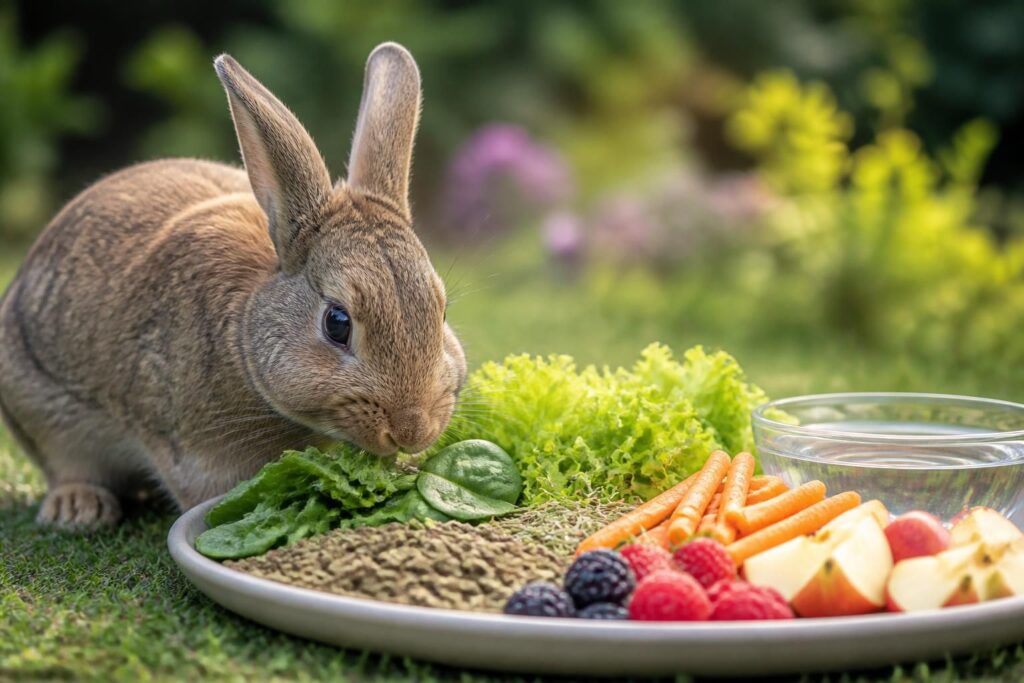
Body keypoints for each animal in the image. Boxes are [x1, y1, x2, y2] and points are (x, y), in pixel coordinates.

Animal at [0, 42, 467, 528]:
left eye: (441, 312)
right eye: (337, 323)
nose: (412, 430)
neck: (244, 340)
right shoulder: (194, 452)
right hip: (35, 404)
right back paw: (78, 509)